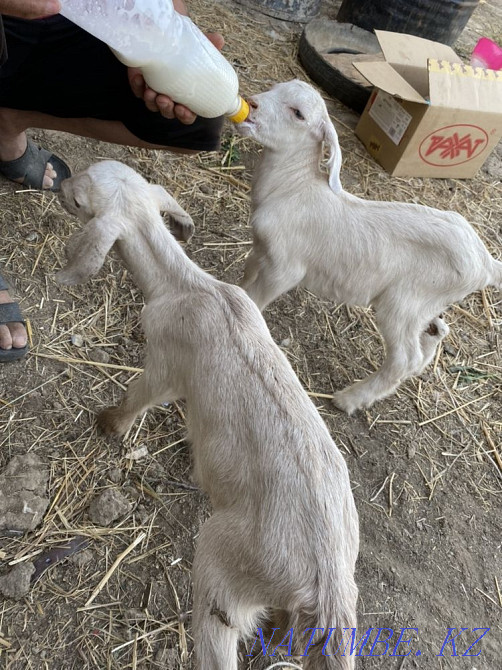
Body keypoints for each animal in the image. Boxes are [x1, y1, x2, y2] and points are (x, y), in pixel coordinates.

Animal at [56, 160, 360, 670]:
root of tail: (327, 582)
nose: (57, 185)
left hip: (222, 568)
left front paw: (110, 426)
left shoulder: (163, 365)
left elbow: (137, 397)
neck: (187, 287)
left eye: (79, 202)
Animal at [236, 79, 502, 415]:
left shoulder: (284, 269)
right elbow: (245, 279)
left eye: (298, 113)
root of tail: (486, 262)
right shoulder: (260, 249)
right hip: (425, 307)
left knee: (405, 358)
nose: (252, 103)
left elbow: (256, 298)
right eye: (274, 88)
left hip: (404, 303)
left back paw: (351, 399)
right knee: (431, 340)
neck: (293, 188)